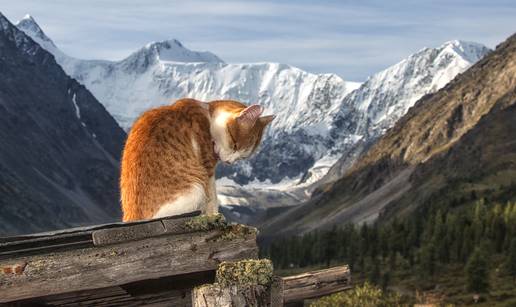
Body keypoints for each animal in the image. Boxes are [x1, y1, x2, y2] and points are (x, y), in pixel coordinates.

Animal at [121, 100, 274, 223]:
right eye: (235, 145)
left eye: (242, 157)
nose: (230, 162)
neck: (207, 112)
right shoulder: (207, 168)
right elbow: (212, 197)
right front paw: (215, 215)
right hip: (196, 190)